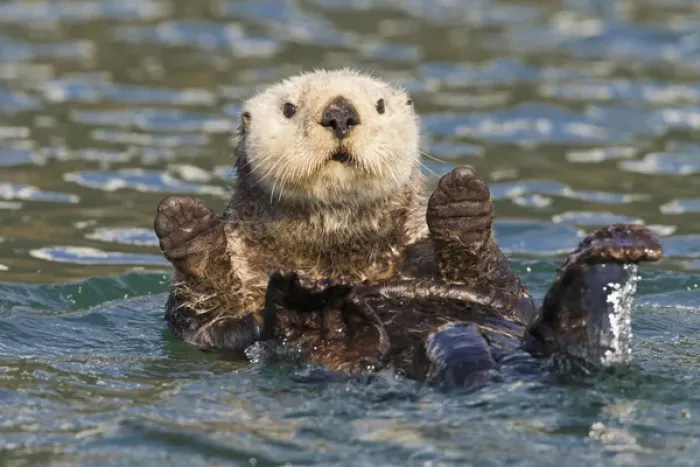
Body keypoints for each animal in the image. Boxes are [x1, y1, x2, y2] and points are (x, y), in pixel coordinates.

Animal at [153, 69, 524, 357]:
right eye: (288, 108)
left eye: (380, 105)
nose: (341, 115)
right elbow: (209, 320)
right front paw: (187, 225)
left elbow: (500, 287)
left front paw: (462, 201)